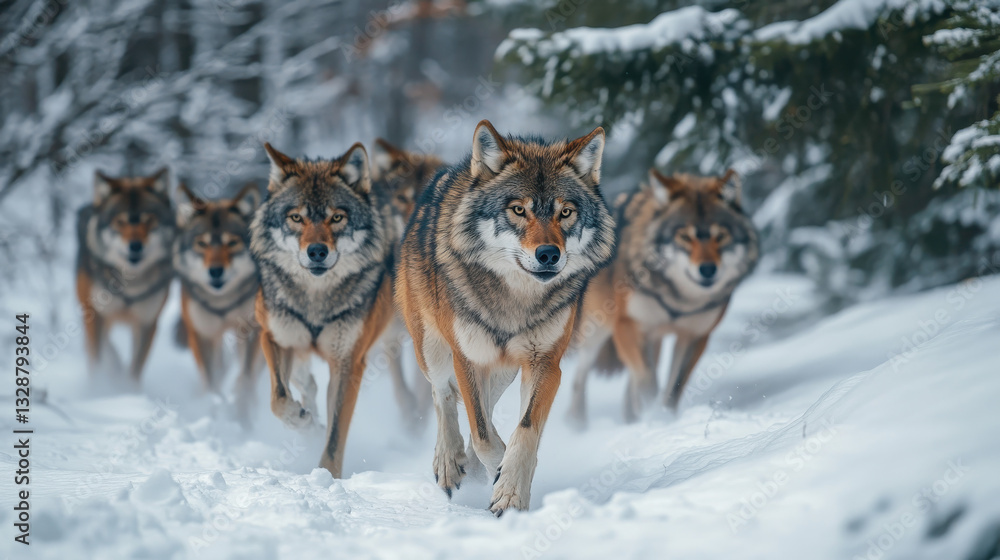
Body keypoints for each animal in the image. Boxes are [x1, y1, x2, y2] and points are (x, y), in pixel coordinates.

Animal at [76, 168, 176, 382]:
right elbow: (96, 358)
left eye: (149, 220)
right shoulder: (95, 314)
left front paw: (128, 388)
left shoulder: (147, 322)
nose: (135, 246)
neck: (131, 282)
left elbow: (135, 368)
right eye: (120, 221)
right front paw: (97, 386)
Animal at [173, 182, 262, 424]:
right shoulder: (202, 334)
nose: (215, 271)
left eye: (231, 242)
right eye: (202, 243)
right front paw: (212, 410)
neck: (223, 302)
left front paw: (243, 419)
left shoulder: (251, 331)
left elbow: (246, 377)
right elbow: (210, 379)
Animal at [250, 142, 396, 477]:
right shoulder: (274, 338)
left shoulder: (348, 363)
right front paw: (301, 421)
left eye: (337, 217)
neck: (316, 299)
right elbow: (278, 398)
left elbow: (335, 434)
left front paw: (327, 477)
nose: (317, 251)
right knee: (306, 383)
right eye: (296, 217)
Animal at [396, 120, 616, 514]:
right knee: (442, 395)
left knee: (479, 406)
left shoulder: (546, 363)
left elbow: (523, 431)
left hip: (502, 371)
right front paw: (496, 471)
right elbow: (483, 433)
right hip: (434, 350)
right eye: (518, 210)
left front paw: (510, 491)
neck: (515, 300)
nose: (548, 254)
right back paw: (448, 464)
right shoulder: (467, 359)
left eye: (565, 212)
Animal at [567, 169, 759, 428]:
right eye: (685, 236)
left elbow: (672, 387)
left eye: (720, 236)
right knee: (580, 376)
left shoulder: (694, 336)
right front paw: (655, 418)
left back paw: (631, 419)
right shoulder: (626, 326)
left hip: (651, 339)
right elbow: (647, 383)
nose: (708, 270)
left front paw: (663, 418)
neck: (679, 298)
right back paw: (578, 427)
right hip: (597, 331)